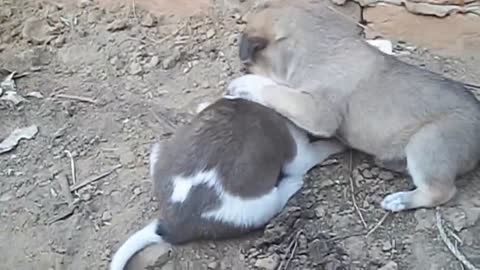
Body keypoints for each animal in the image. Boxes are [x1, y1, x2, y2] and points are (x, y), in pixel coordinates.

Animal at [110, 92, 344, 268]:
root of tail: (171, 223)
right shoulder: (298, 153)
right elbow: (317, 151)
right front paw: (336, 144)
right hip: (262, 205)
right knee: (279, 197)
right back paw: (292, 184)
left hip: (158, 150)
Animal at [227, 0, 480, 213]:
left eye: (247, 66)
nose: (242, 69)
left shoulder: (318, 111)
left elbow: (276, 90)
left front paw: (244, 84)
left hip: (429, 141)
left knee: (440, 191)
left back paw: (399, 200)